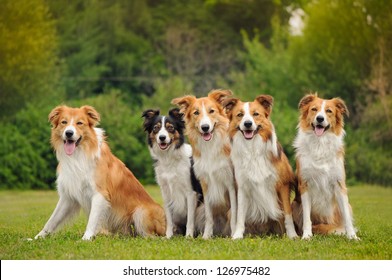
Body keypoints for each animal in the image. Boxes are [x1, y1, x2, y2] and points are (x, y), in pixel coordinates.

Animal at [34, 105, 167, 241]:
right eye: (64, 122)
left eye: (80, 123)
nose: (69, 133)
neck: (78, 155)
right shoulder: (68, 197)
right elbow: (51, 221)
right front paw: (37, 238)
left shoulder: (99, 194)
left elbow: (92, 220)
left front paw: (85, 239)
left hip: (140, 212)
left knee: (151, 236)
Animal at [142, 108, 204, 237]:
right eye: (156, 128)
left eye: (170, 128)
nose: (162, 137)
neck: (169, 158)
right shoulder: (165, 191)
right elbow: (169, 219)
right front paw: (169, 236)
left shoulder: (191, 192)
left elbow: (190, 219)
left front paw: (188, 236)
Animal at [171, 89, 236, 238]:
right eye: (196, 113)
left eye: (211, 111)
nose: (205, 127)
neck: (210, 146)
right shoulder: (205, 184)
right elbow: (209, 215)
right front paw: (207, 236)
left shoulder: (230, 183)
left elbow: (234, 214)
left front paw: (235, 234)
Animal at [290, 94, 358, 241]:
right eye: (314, 109)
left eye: (329, 111)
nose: (320, 118)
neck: (319, 144)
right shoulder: (305, 185)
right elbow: (307, 218)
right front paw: (307, 235)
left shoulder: (339, 185)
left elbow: (347, 218)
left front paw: (352, 236)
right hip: (295, 204)